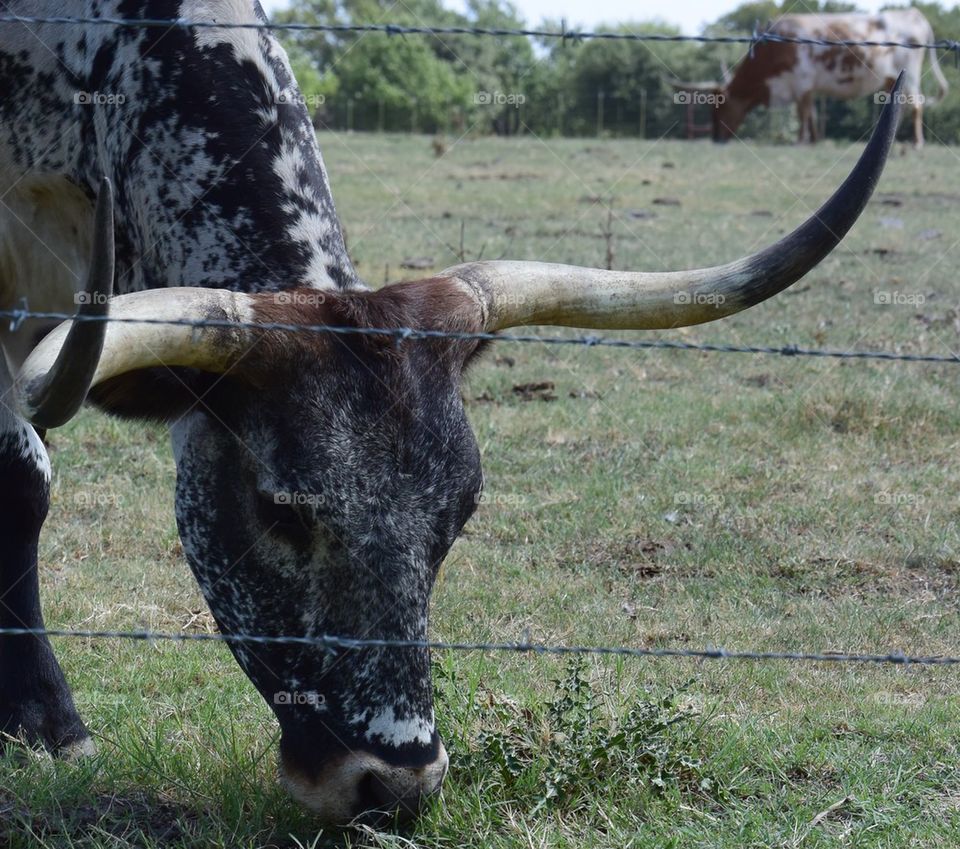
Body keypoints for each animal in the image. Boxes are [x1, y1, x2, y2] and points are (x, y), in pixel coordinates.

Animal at [672, 9, 947, 147]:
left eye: (719, 108)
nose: (716, 138)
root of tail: (914, 14)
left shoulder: (801, 82)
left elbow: (803, 113)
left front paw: (801, 141)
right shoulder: (805, 86)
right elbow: (811, 113)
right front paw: (814, 140)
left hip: (910, 76)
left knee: (916, 106)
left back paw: (917, 144)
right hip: (892, 79)